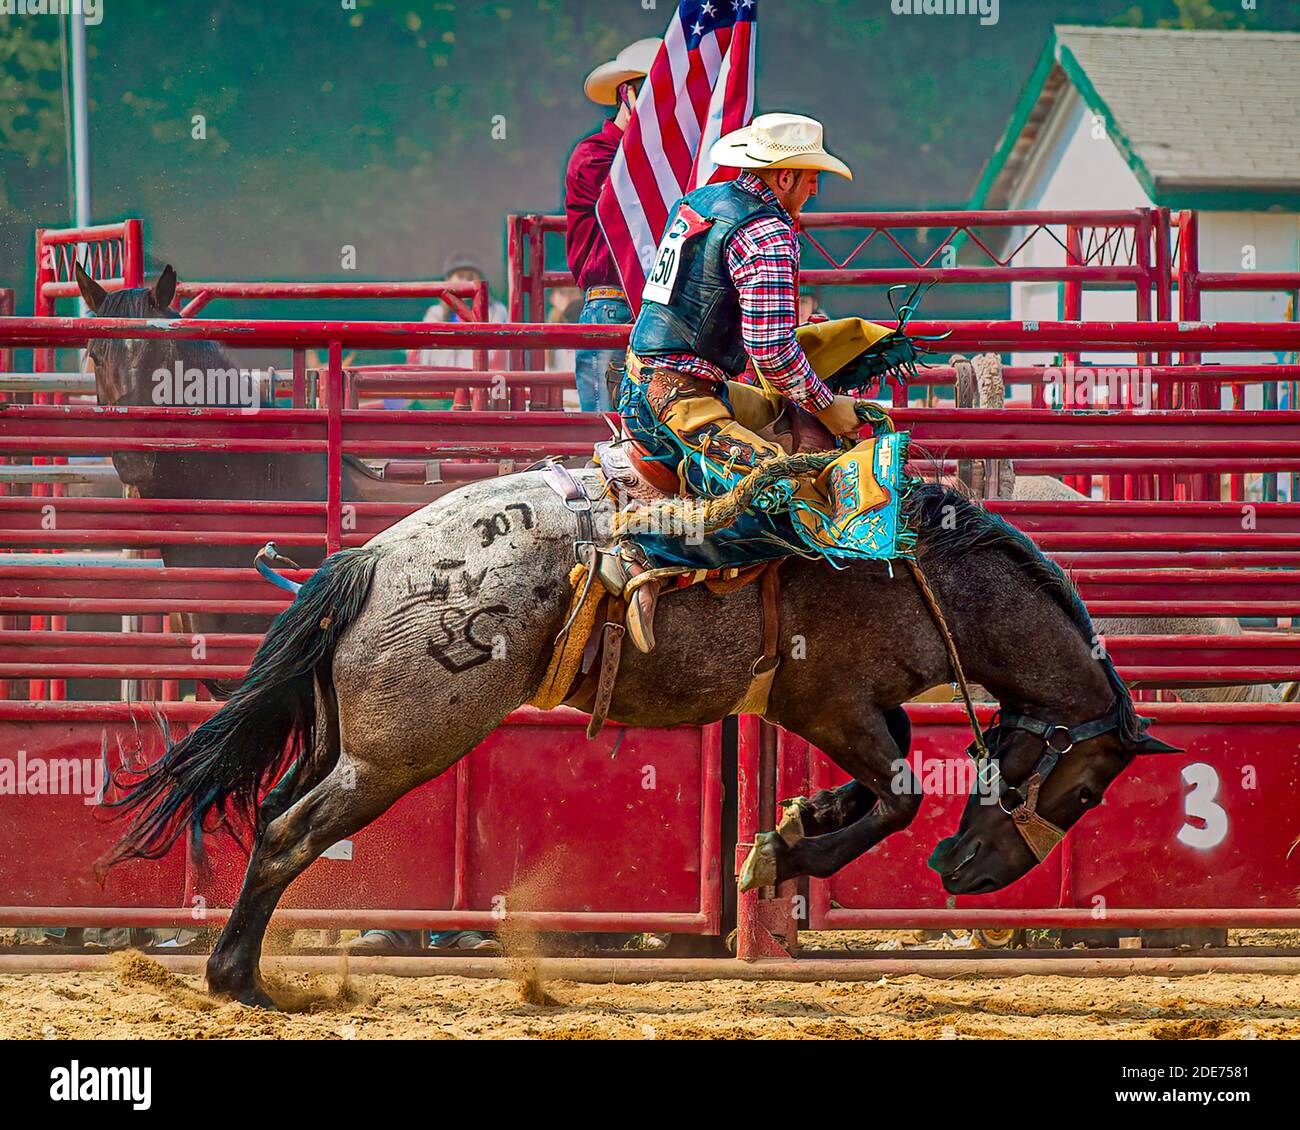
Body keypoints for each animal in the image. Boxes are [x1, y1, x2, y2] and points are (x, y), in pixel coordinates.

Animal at [99, 462, 1180, 1007]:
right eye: (1087, 791)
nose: (969, 876)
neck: (923, 573)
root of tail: (366, 561)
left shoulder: (850, 709)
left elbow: (885, 779)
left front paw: (794, 822)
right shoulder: (826, 702)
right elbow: (899, 793)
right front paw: (781, 850)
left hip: (344, 741)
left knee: (279, 814)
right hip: (397, 750)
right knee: (290, 832)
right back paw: (239, 982)